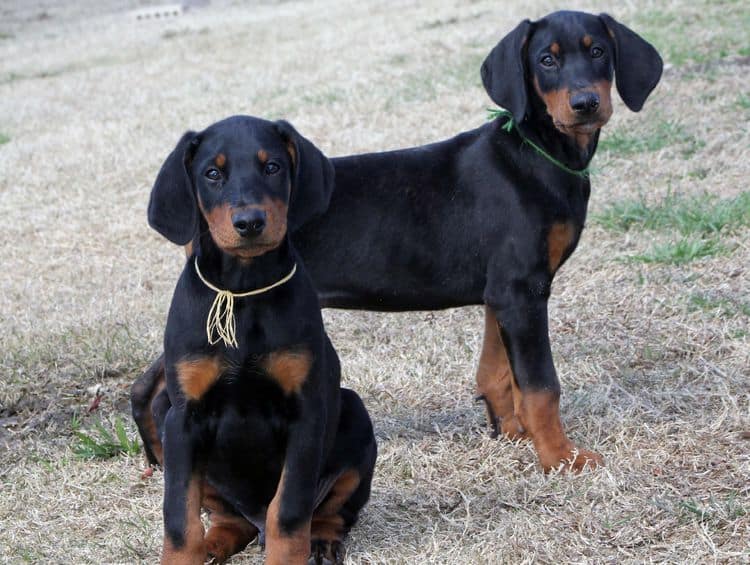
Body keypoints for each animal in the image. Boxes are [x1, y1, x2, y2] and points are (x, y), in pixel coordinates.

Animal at [135, 11, 664, 474]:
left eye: (598, 52)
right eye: (546, 60)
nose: (585, 104)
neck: (536, 152)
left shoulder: (502, 293)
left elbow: (497, 373)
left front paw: (513, 435)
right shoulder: (523, 289)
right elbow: (540, 385)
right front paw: (561, 458)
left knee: (146, 386)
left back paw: (160, 460)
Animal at [137, 115, 376, 564]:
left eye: (273, 167)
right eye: (212, 174)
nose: (249, 223)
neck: (243, 292)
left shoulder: (306, 414)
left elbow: (289, 510)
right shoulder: (183, 420)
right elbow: (179, 517)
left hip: (354, 414)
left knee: (329, 510)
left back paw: (322, 540)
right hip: (166, 421)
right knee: (228, 518)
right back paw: (214, 545)